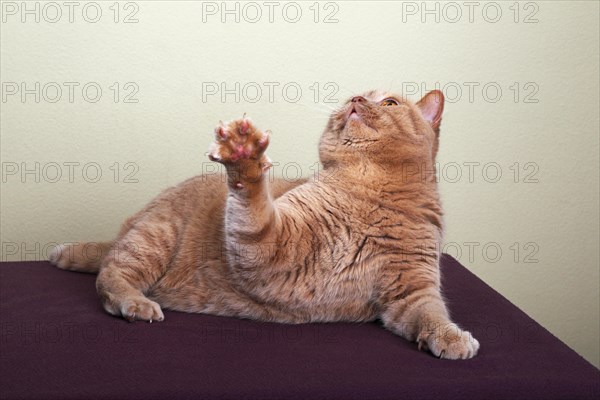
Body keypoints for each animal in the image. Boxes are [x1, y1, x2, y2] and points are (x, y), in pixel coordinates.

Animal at [49, 90, 480, 360]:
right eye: (355, 96)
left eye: (388, 102)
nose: (356, 101)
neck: (368, 192)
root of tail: (132, 221)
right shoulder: (271, 243)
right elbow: (255, 199)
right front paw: (245, 157)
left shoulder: (412, 292)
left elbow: (432, 316)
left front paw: (451, 338)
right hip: (154, 239)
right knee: (109, 278)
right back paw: (136, 302)